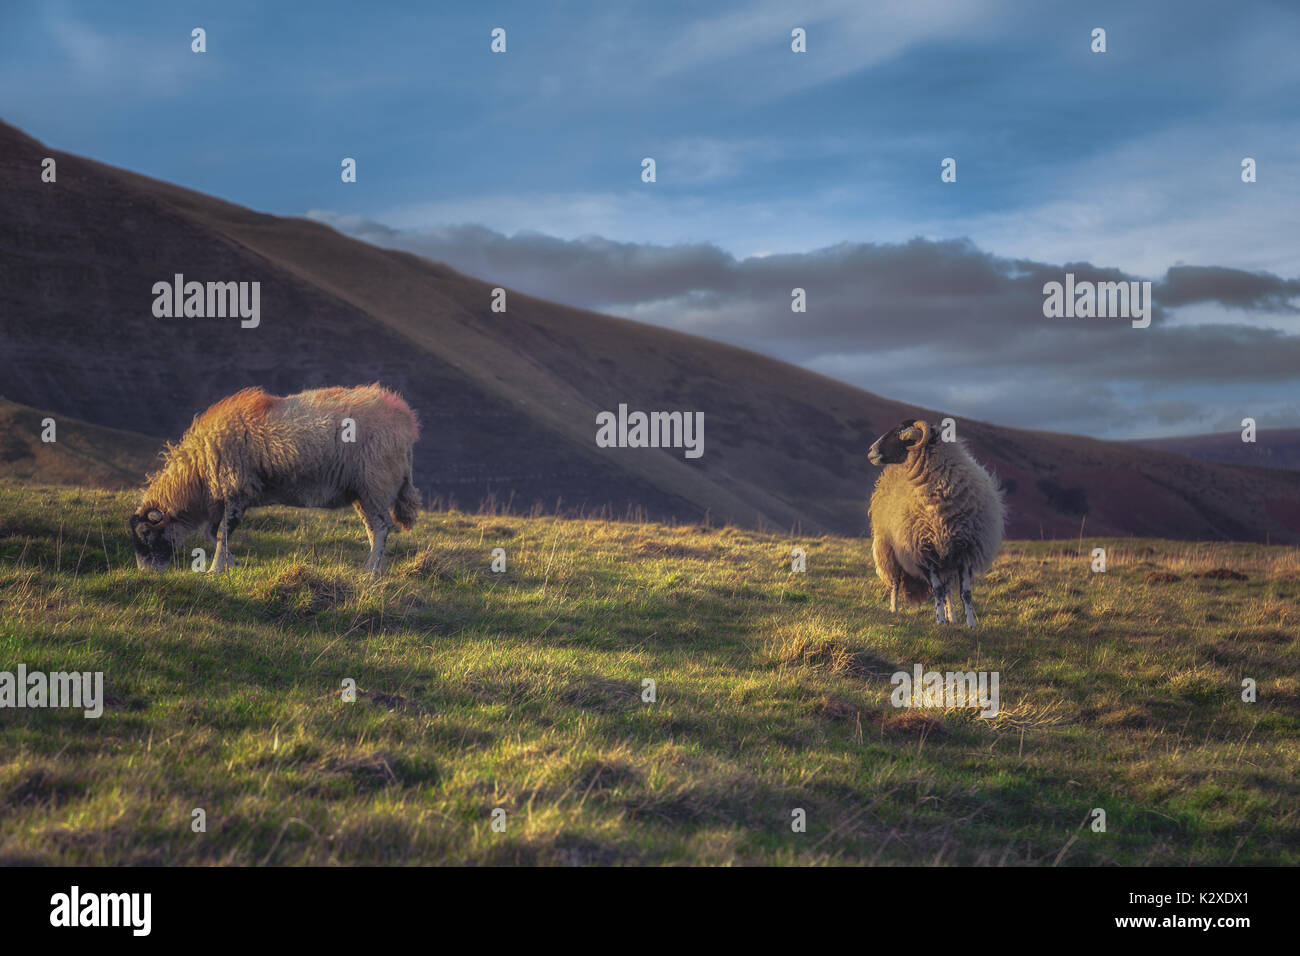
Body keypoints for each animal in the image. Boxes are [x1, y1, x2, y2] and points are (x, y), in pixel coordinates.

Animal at [130, 382, 421, 574]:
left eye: (146, 533)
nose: (146, 573)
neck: (196, 477)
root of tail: (404, 418)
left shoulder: (237, 490)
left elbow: (222, 533)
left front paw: (215, 569)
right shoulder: (226, 497)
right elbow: (213, 533)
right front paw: (232, 563)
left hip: (376, 483)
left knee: (381, 527)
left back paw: (371, 570)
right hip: (362, 490)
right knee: (373, 528)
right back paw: (376, 569)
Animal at [873, 418, 1003, 629]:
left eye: (898, 434)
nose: (870, 451)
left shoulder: (965, 550)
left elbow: (965, 593)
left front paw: (970, 624)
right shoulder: (924, 552)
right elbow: (937, 590)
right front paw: (939, 620)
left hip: (946, 559)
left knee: (948, 588)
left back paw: (953, 617)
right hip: (889, 548)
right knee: (895, 582)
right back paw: (894, 609)